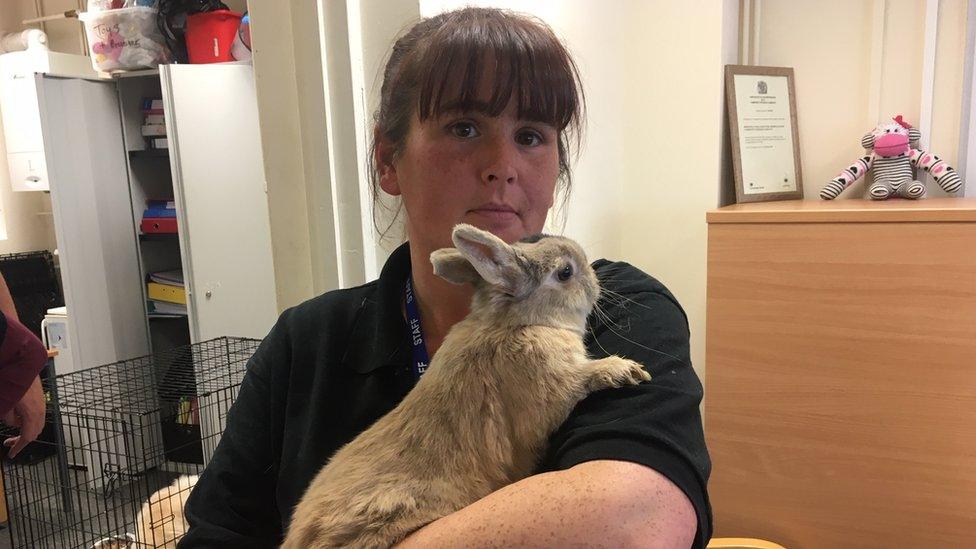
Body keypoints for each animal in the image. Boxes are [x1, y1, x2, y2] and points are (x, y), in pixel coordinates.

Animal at [280, 224, 648, 548]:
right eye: (565, 272)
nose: (596, 283)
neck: (513, 323)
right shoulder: (554, 386)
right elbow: (581, 379)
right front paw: (625, 369)